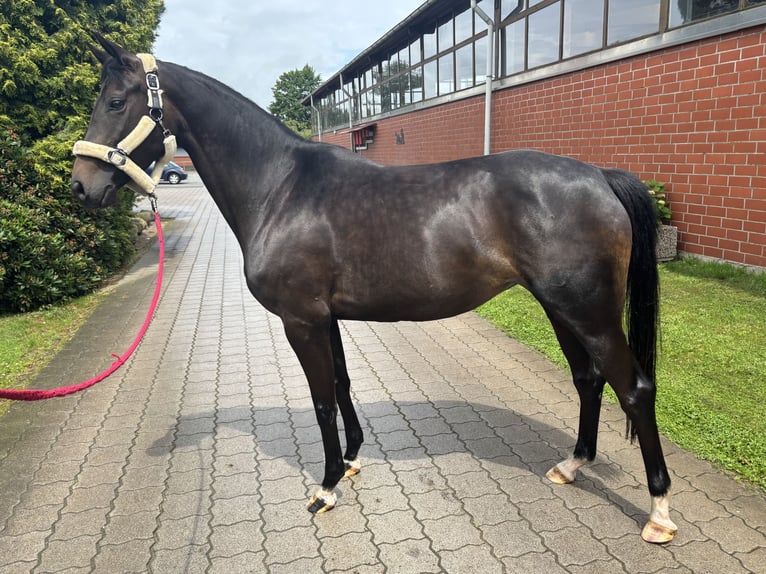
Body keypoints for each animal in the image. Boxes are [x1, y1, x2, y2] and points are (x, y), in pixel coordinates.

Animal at [70, 35, 677, 543]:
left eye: (117, 101)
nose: (81, 186)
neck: (280, 188)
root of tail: (598, 176)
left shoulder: (301, 320)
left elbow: (320, 401)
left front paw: (325, 486)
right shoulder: (326, 317)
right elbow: (341, 385)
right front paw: (351, 460)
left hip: (588, 310)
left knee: (633, 389)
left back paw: (659, 513)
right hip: (561, 308)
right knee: (589, 380)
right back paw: (572, 465)